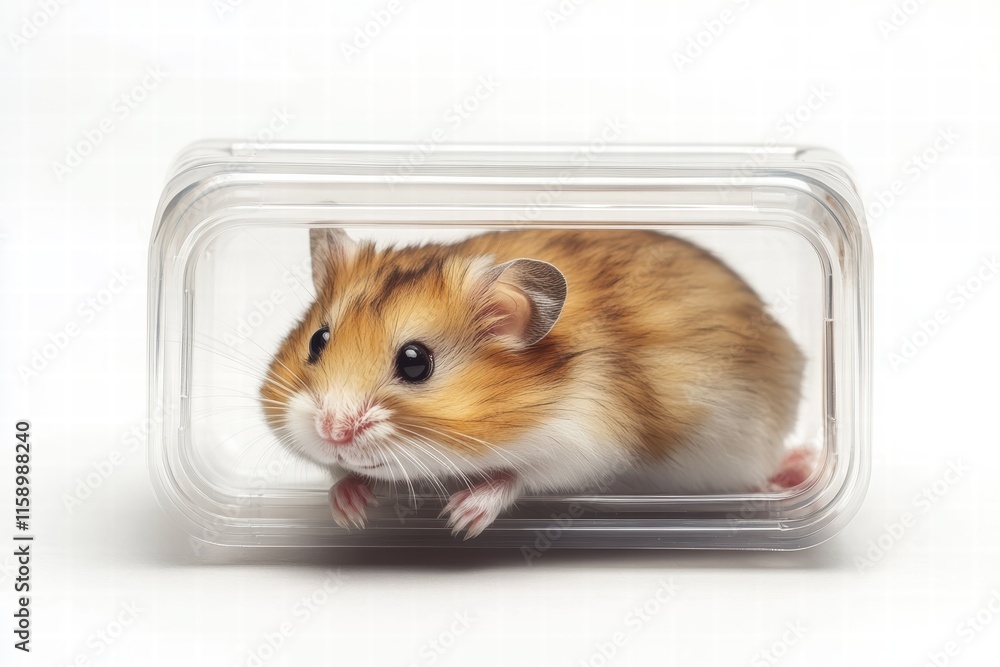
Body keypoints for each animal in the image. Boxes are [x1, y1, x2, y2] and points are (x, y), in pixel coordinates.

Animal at [260, 229, 807, 538]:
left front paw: (460, 519)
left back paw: (793, 471)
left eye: (416, 363)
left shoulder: (586, 441)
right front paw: (349, 510)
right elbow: (345, 477)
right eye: (317, 340)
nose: (332, 432)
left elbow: (519, 475)